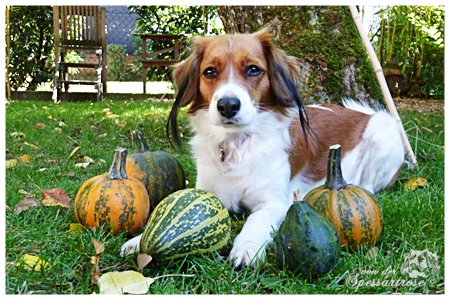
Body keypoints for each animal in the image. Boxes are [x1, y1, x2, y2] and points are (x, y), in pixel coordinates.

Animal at [121, 29, 406, 270]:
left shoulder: (275, 202)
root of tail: (362, 113)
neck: (236, 146)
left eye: (253, 69)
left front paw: (246, 248)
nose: (227, 105)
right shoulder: (208, 192)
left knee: (368, 186)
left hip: (384, 131)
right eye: (210, 72)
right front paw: (138, 240)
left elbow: (254, 220)